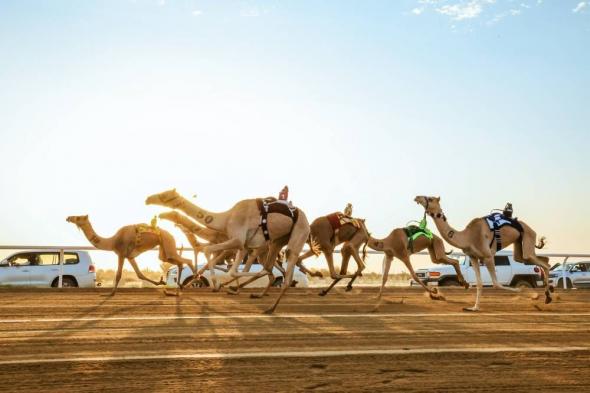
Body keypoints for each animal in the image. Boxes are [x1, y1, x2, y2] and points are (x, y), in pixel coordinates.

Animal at [66, 214, 197, 294]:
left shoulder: (121, 254)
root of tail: (171, 234)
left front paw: (111, 292)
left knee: (186, 260)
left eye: (78, 217)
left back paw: (192, 280)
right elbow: (139, 274)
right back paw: (181, 286)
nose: (68, 217)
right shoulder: (130, 256)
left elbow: (118, 274)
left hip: (168, 243)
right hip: (164, 250)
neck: (112, 241)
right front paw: (161, 282)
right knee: (176, 262)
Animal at [146, 188, 312, 314]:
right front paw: (220, 285)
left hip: (298, 234)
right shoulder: (242, 245)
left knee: (284, 270)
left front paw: (217, 284)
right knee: (270, 267)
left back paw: (270, 308)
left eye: (165, 194)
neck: (226, 218)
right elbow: (230, 269)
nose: (148, 199)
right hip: (277, 241)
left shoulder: (236, 241)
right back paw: (257, 294)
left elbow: (214, 256)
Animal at [414, 194, 552, 310]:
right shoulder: (474, 257)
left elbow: (496, 284)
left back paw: (548, 295)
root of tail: (529, 227)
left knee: (540, 262)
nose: (417, 197)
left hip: (528, 235)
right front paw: (474, 308)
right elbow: (479, 284)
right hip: (519, 244)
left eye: (431, 198)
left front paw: (526, 292)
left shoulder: (488, 256)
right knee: (535, 259)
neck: (468, 237)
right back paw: (548, 294)